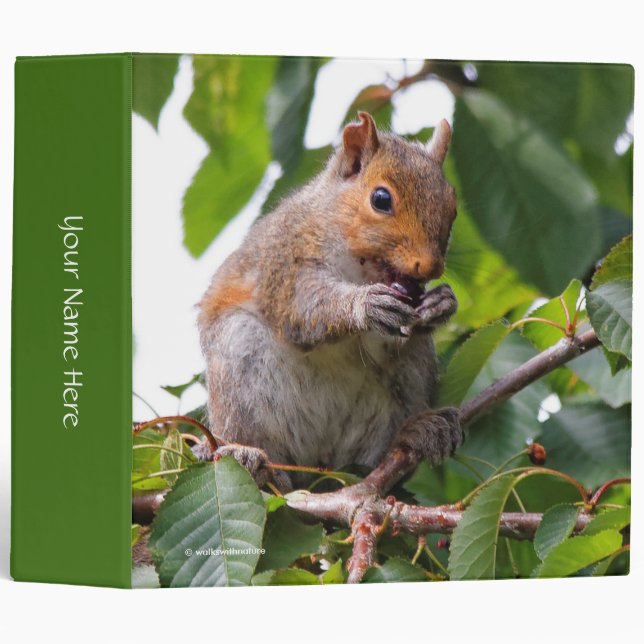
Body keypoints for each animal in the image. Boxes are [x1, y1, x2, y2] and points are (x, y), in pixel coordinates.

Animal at [195, 112, 463, 489]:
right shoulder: (286, 262)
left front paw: (442, 304)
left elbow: (386, 343)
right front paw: (364, 306)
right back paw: (253, 462)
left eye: (452, 209)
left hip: (411, 375)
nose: (430, 267)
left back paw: (417, 432)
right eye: (381, 199)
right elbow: (303, 308)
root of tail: (318, 467)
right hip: (239, 365)